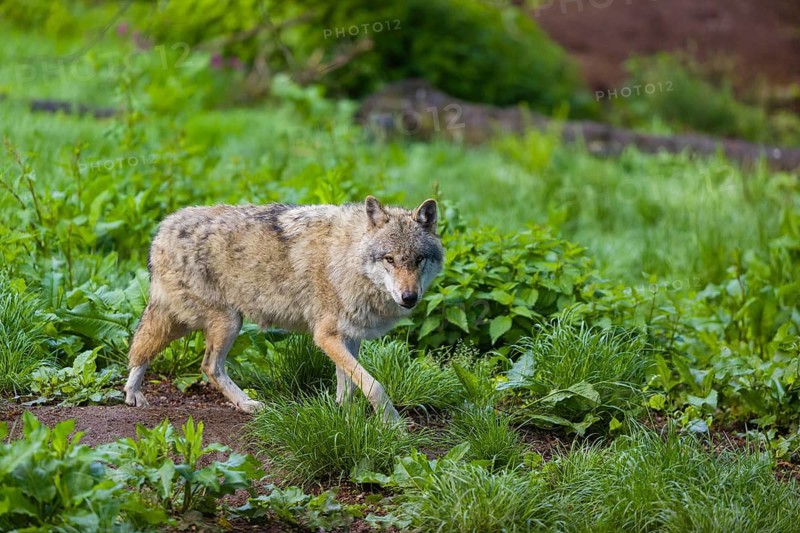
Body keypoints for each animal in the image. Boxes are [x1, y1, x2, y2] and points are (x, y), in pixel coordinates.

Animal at [123, 196, 443, 423]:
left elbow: (350, 385)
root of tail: (163, 229)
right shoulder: (325, 336)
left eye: (418, 259)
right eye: (389, 259)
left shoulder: (349, 336)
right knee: (195, 363)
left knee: (159, 353)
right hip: (224, 321)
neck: (347, 258)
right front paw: (392, 423)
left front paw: (343, 416)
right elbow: (374, 385)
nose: (409, 297)